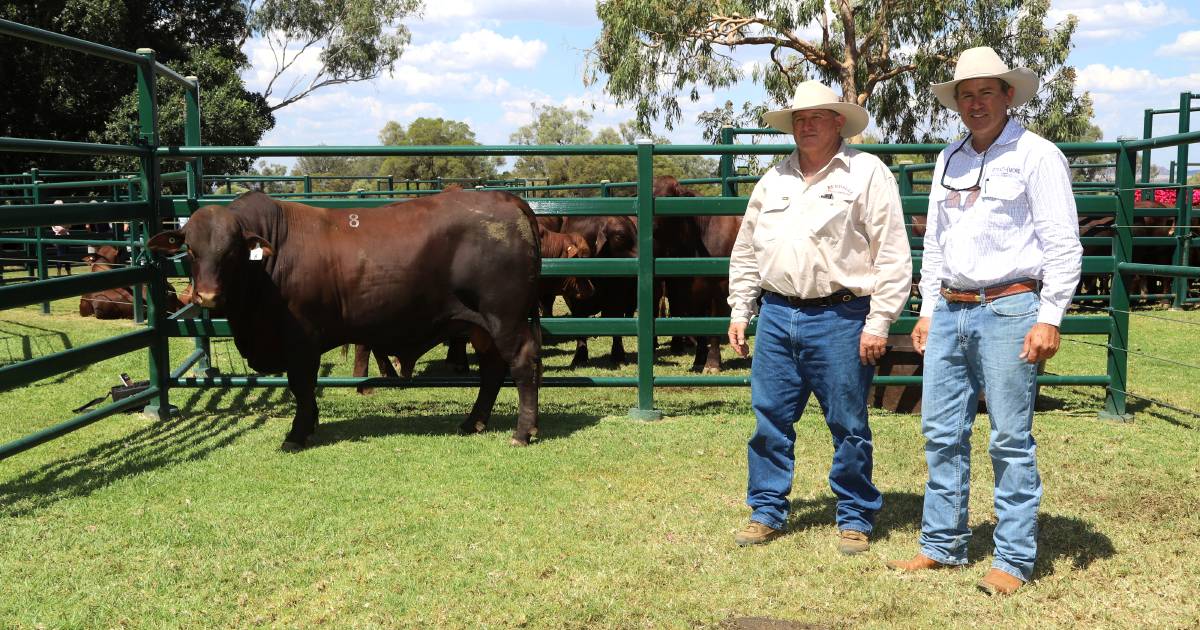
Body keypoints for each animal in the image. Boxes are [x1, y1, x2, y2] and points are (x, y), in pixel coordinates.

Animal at [148, 189, 544, 448]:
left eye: (231, 252)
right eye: (190, 250)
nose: (207, 296)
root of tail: (509, 199)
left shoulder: (301, 340)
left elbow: (302, 386)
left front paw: (297, 433)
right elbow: (305, 389)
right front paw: (309, 425)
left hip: (504, 318)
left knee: (522, 365)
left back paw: (522, 433)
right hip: (482, 326)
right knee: (493, 370)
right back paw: (472, 422)